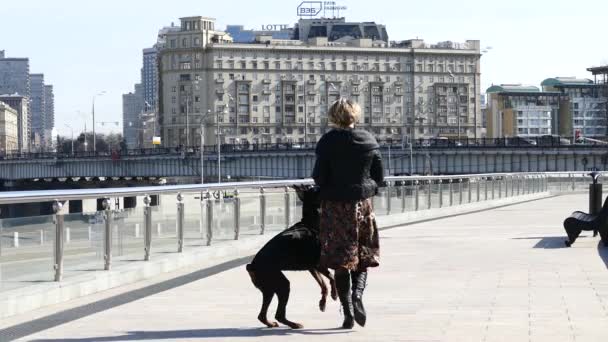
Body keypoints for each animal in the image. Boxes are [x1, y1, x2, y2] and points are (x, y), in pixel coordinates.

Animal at [246, 186, 338, 330]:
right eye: (317, 189)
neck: (310, 222)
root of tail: (252, 266)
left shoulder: (312, 268)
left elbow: (323, 284)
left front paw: (322, 303)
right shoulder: (318, 264)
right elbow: (331, 277)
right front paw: (334, 294)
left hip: (269, 288)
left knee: (262, 314)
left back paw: (270, 323)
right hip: (281, 284)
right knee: (279, 314)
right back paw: (293, 324)